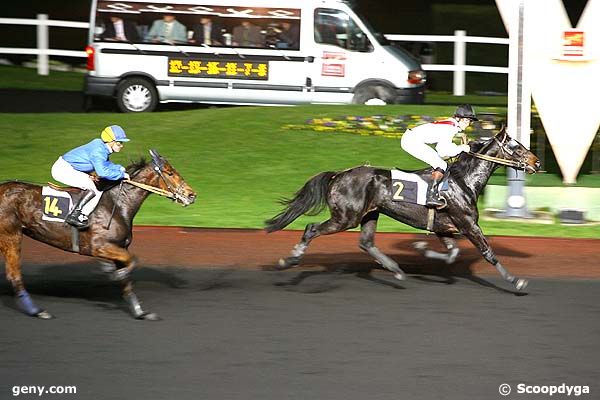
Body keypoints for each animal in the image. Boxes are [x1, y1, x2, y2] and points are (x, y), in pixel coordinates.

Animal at [0, 149, 197, 318]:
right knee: (14, 275)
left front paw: (139, 312)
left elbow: (127, 276)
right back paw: (37, 311)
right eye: (169, 173)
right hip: (11, 235)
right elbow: (132, 261)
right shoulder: (99, 246)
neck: (117, 205)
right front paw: (112, 272)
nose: (191, 195)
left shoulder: (119, 247)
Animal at [264, 128, 540, 290]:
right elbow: (488, 253)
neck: (465, 181)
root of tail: (339, 175)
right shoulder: (468, 224)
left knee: (366, 243)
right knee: (311, 229)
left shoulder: (444, 227)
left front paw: (421, 248)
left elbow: (452, 253)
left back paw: (396, 270)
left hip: (370, 214)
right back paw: (290, 259)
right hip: (346, 217)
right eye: (516, 147)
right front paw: (516, 280)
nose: (536, 162)